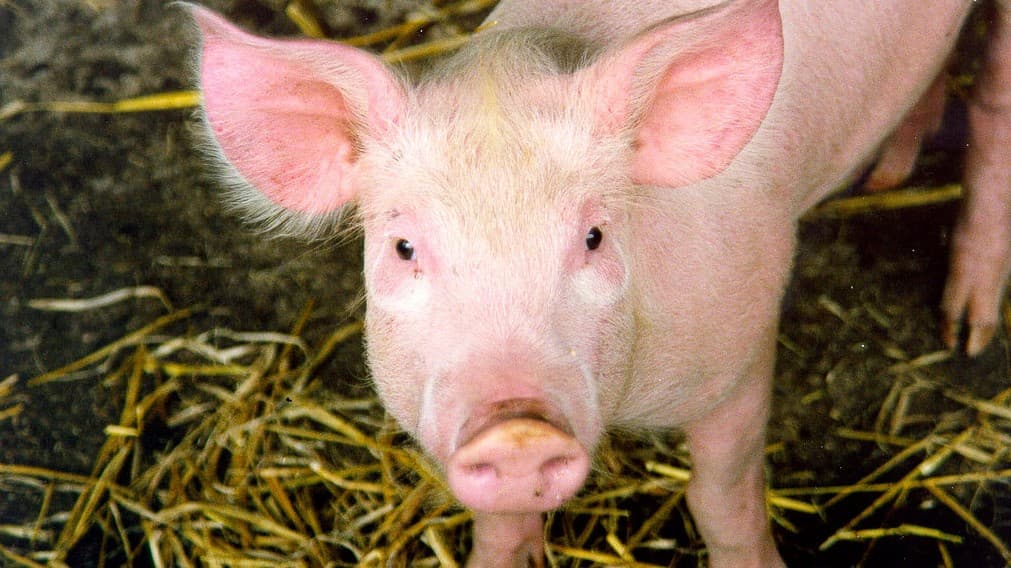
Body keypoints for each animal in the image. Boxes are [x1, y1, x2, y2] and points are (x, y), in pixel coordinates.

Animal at [186, 0, 1009, 566]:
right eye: (404, 247)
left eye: (593, 237)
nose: (516, 424)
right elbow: (501, 525)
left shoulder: (742, 342)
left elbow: (720, 495)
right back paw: (888, 176)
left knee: (994, 111)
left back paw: (965, 332)